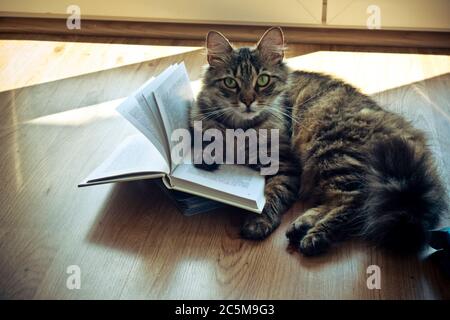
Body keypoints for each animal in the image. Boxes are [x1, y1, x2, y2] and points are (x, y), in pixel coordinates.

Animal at [190, 26, 446, 255]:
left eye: (262, 80)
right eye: (230, 83)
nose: (247, 101)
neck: (241, 127)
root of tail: (408, 134)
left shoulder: (284, 164)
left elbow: (272, 196)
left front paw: (259, 222)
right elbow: (206, 140)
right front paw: (207, 158)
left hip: (331, 150)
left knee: (357, 203)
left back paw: (315, 237)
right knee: (342, 200)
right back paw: (302, 225)